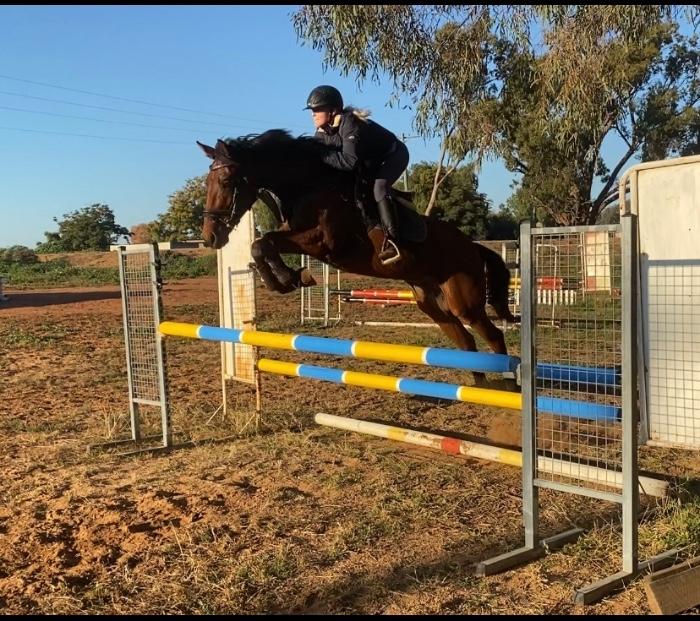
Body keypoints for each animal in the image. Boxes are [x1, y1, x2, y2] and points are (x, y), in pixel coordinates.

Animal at [197, 130, 518, 386]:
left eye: (226, 180)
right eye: (207, 183)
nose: (210, 237)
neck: (308, 185)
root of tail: (472, 246)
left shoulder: (322, 242)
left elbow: (263, 243)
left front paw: (291, 277)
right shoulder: (297, 236)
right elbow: (259, 245)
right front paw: (287, 280)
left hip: (464, 301)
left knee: (493, 336)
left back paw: (507, 386)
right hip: (433, 304)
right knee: (466, 341)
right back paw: (480, 386)